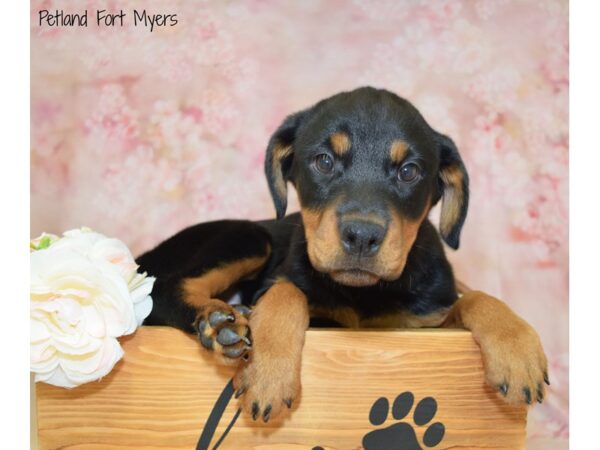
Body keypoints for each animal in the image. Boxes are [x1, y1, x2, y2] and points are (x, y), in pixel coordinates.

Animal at [136, 86, 548, 424]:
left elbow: (474, 298)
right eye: (323, 161)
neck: (362, 293)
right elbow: (287, 291)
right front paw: (269, 375)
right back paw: (216, 323)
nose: (361, 236)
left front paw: (517, 350)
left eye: (409, 171)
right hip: (248, 236)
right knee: (164, 291)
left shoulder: (428, 322)